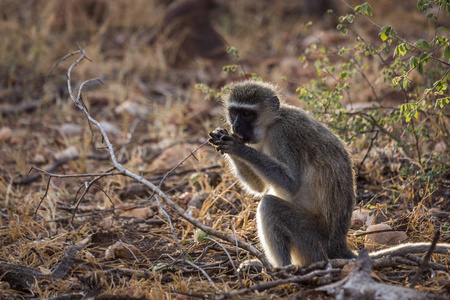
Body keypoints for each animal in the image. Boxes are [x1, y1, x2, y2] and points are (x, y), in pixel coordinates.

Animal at [208, 79, 450, 268]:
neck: (273, 122)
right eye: (234, 112)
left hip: (312, 241)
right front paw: (225, 140)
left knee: (270, 206)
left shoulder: (281, 135)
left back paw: (282, 270)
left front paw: (236, 147)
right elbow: (258, 187)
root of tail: (337, 244)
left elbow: (290, 185)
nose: (236, 126)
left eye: (247, 113)